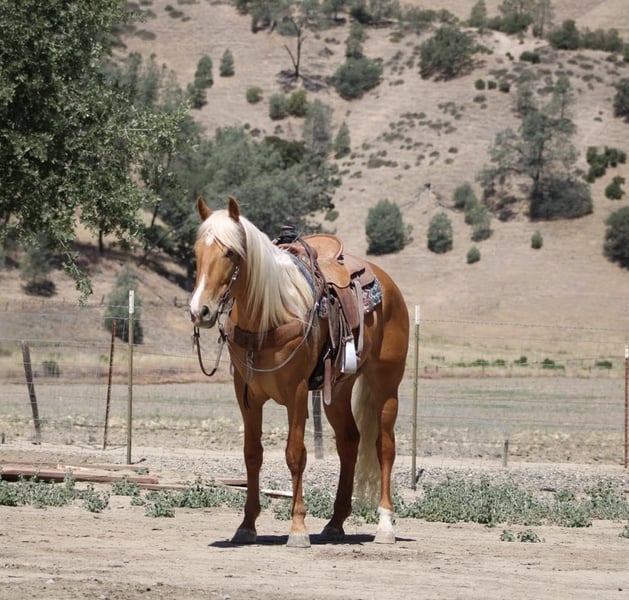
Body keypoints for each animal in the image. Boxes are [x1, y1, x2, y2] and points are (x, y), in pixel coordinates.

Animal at [189, 196, 409, 547]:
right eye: (197, 251)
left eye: (231, 253)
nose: (200, 311)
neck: (267, 315)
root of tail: (386, 283)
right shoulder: (246, 395)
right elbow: (252, 454)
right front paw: (246, 525)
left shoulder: (295, 392)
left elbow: (295, 454)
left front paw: (297, 527)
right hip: (338, 390)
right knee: (349, 441)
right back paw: (335, 523)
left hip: (386, 384)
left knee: (384, 446)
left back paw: (385, 525)